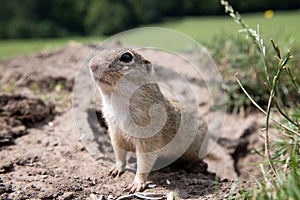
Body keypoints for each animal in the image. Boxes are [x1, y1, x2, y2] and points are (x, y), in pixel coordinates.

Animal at [88, 48, 207, 192]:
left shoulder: (149, 138)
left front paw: (137, 183)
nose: (92, 65)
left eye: (126, 57)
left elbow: (144, 161)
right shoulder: (115, 131)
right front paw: (116, 169)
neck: (118, 101)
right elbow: (119, 153)